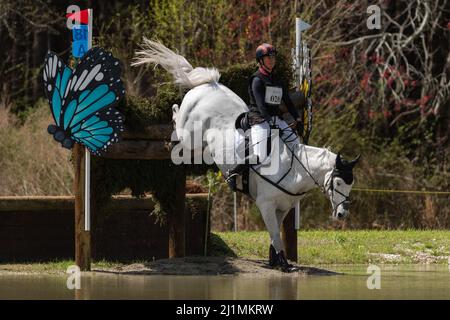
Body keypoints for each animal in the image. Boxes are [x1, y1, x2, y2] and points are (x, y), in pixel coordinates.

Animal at [133, 38, 358, 272]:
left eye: (350, 184)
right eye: (338, 183)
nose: (342, 214)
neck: (295, 169)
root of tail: (209, 85)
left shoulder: (282, 208)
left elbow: (274, 235)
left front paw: (274, 260)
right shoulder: (266, 205)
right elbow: (275, 235)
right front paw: (283, 264)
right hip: (189, 136)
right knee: (177, 113)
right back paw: (173, 126)